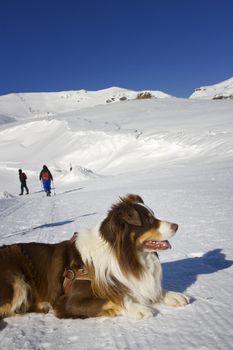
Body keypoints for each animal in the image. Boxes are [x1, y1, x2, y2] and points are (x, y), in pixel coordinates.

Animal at [0, 194, 188, 320]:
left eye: (153, 216)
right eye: (148, 220)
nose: (177, 226)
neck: (124, 256)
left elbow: (149, 290)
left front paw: (172, 295)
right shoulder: (69, 300)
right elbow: (114, 298)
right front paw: (137, 308)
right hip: (17, 282)